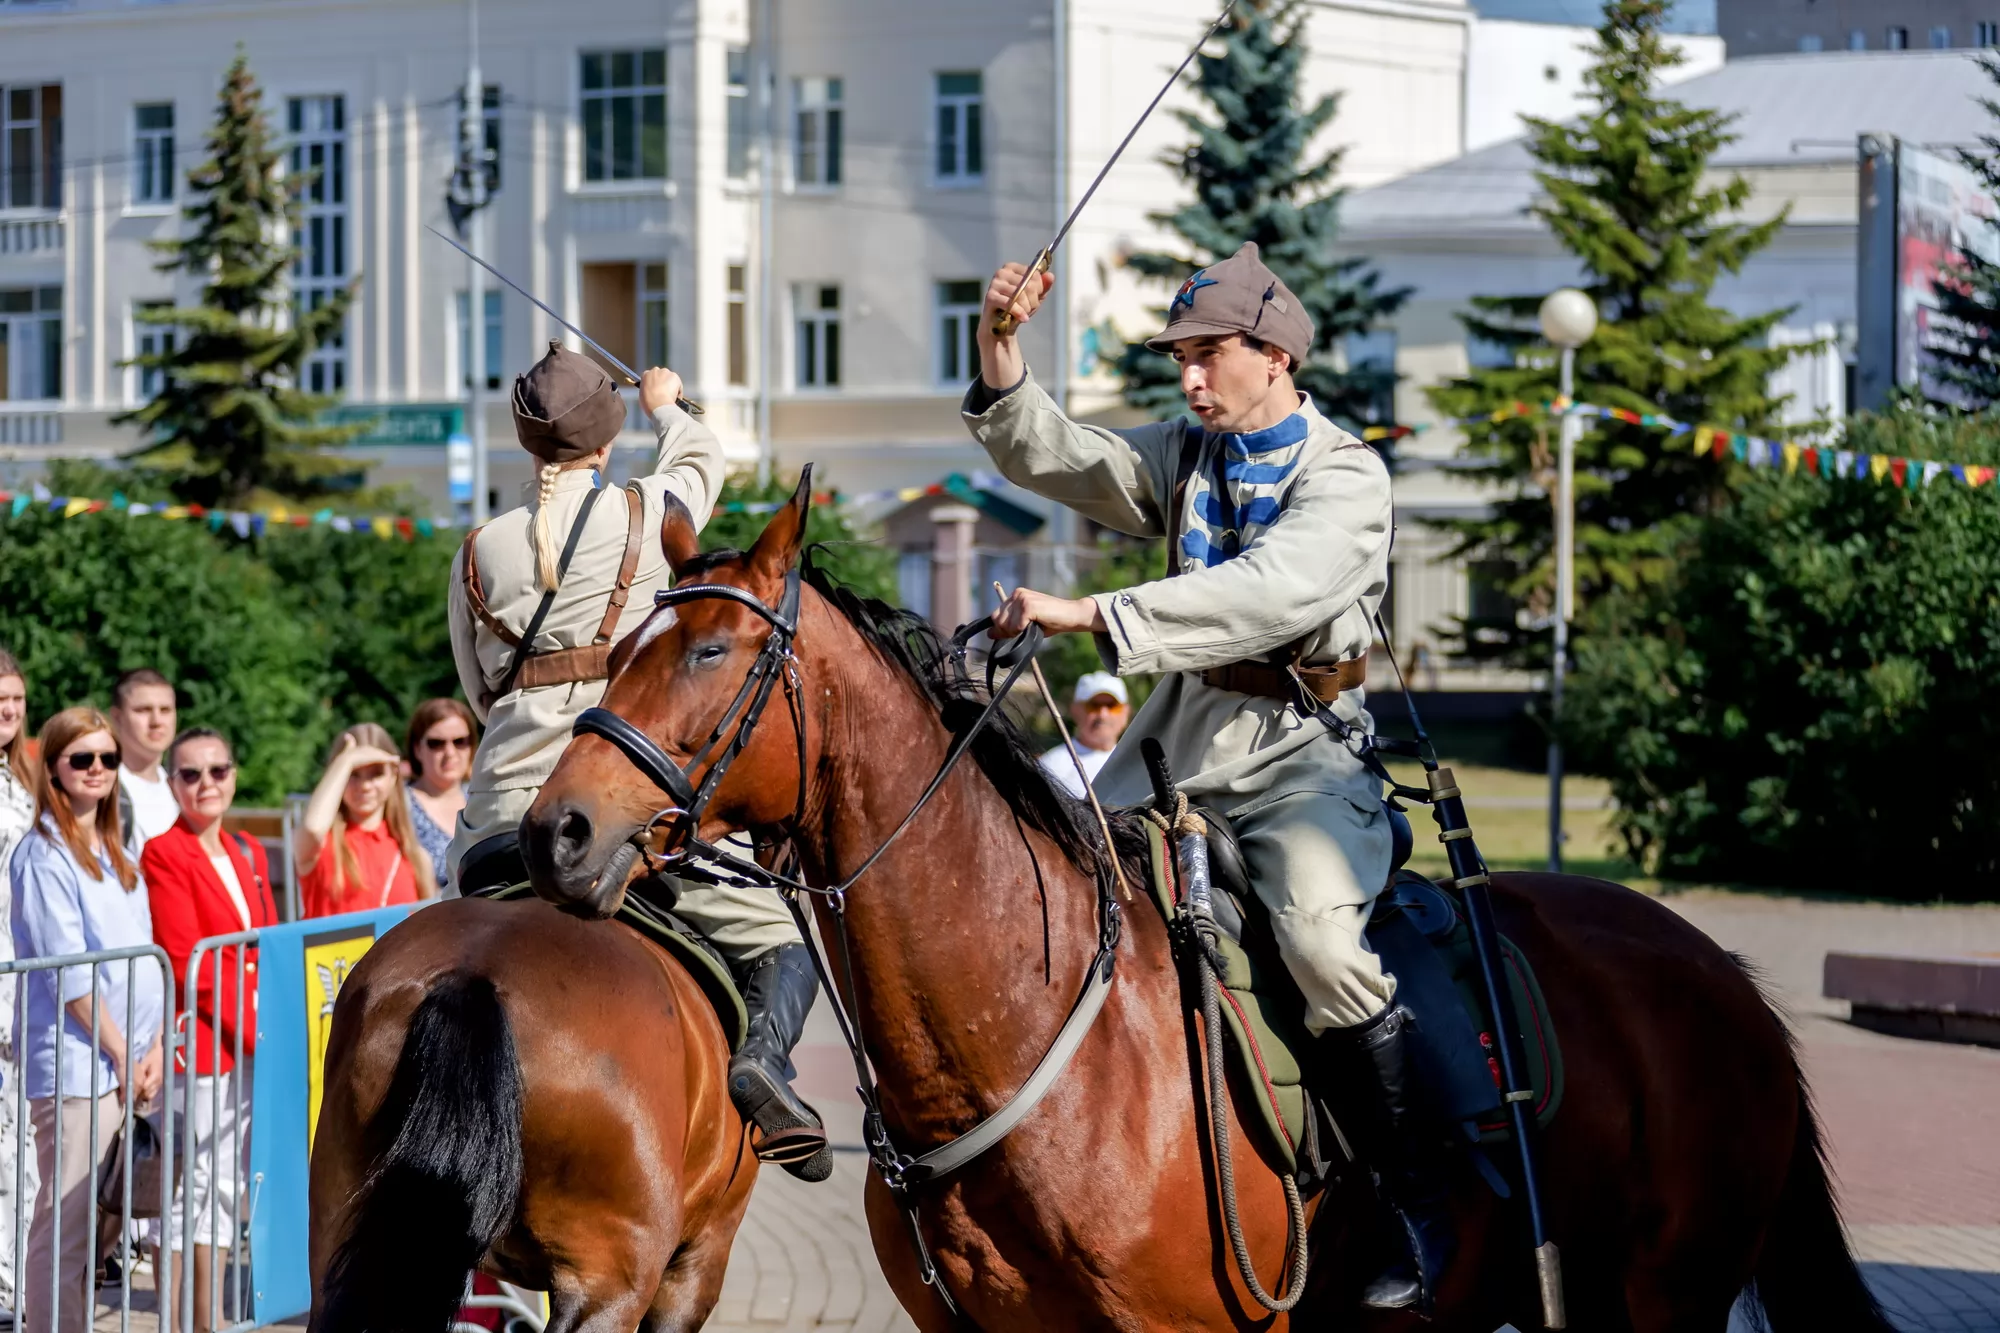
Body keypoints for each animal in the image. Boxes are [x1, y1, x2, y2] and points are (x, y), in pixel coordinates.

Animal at [524, 478, 1896, 1328]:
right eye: (624, 645)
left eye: (710, 651)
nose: (558, 830)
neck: (1023, 1035)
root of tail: (1719, 973)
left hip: (1660, 1298)